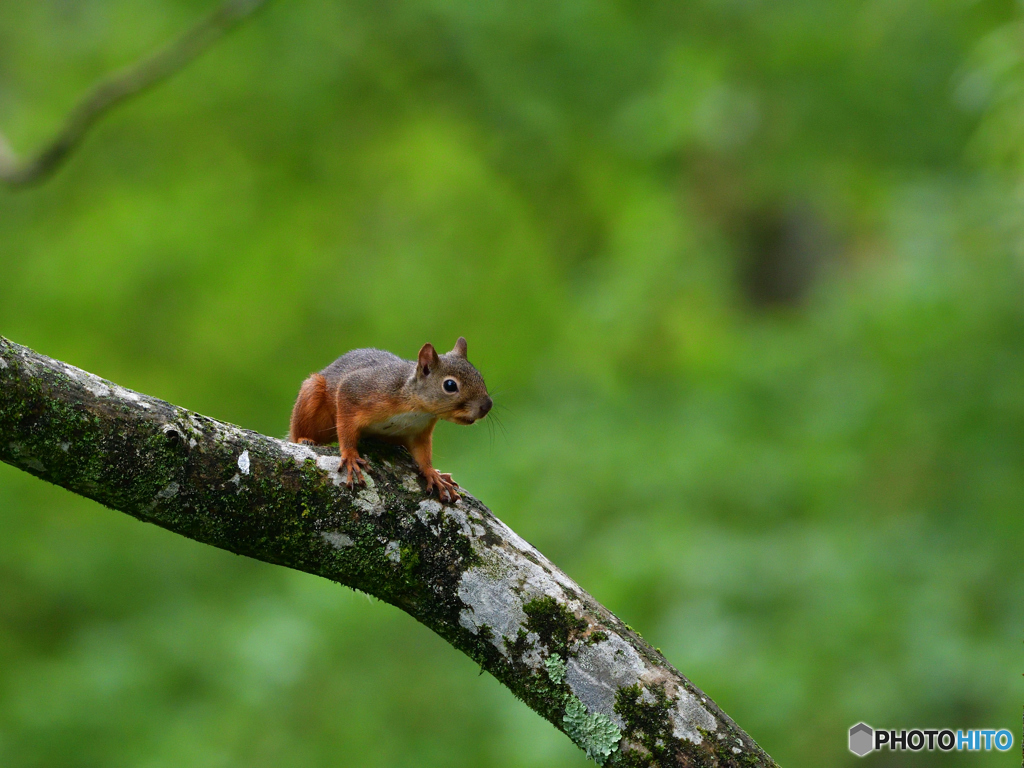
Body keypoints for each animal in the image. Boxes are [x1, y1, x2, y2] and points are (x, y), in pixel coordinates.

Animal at [288, 337, 491, 505]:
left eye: (480, 377)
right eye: (450, 385)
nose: (487, 405)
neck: (416, 409)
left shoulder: (419, 432)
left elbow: (423, 454)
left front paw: (432, 474)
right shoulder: (357, 390)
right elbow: (345, 426)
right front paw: (351, 456)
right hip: (311, 394)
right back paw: (304, 439)